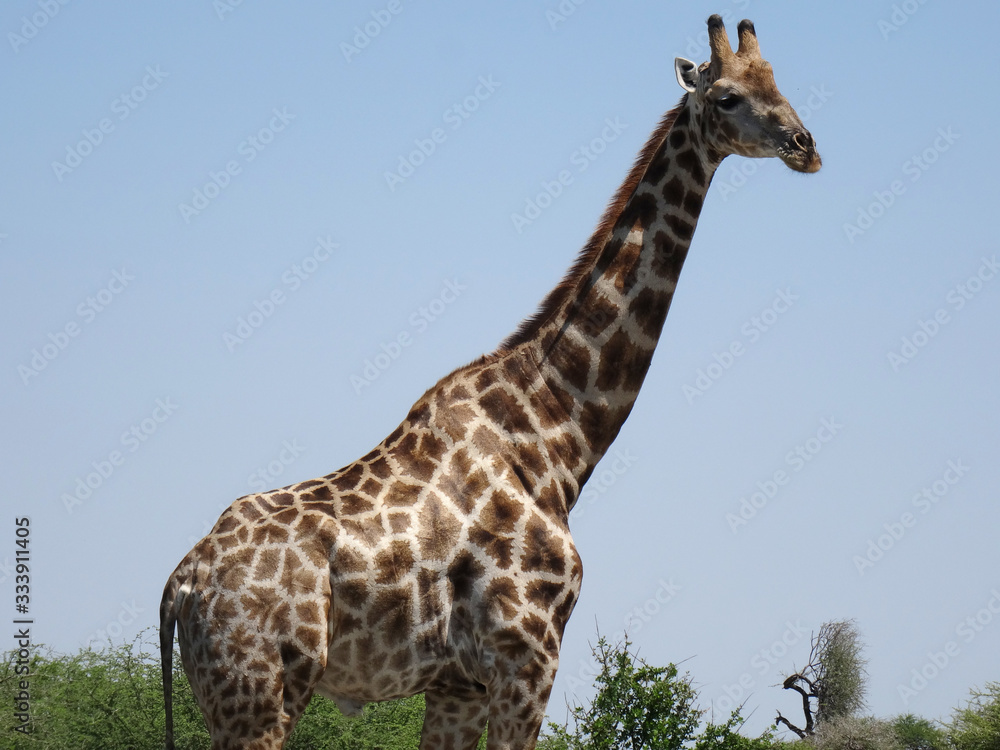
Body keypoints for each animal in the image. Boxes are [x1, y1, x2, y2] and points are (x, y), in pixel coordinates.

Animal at [160, 15, 820, 750]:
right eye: (729, 96)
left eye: (779, 82)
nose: (805, 146)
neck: (559, 430)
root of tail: (182, 582)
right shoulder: (528, 656)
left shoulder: (459, 687)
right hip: (262, 692)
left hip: (233, 695)